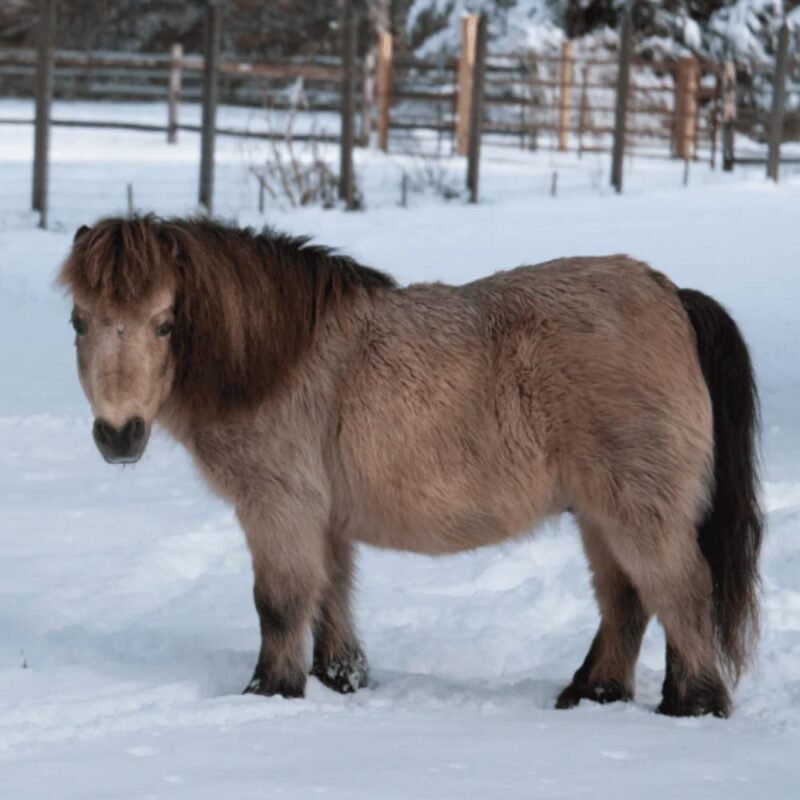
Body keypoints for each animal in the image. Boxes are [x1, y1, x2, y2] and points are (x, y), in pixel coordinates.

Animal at [58, 214, 762, 717]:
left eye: (165, 323)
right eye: (78, 320)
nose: (118, 435)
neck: (276, 362)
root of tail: (671, 296)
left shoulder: (277, 505)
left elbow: (280, 603)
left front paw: (269, 692)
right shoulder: (324, 517)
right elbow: (331, 596)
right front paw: (340, 681)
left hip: (637, 508)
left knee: (680, 591)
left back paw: (692, 706)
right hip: (599, 512)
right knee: (627, 601)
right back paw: (593, 695)